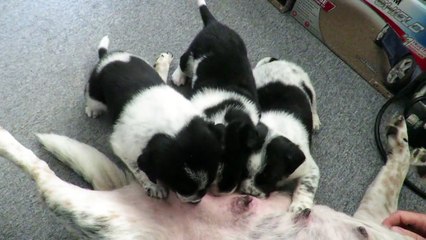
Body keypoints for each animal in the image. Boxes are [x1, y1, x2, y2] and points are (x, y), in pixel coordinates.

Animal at [83, 36, 223, 203]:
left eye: (211, 180)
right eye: (182, 186)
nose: (197, 200)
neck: (174, 127)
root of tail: (106, 57)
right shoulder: (122, 146)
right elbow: (140, 169)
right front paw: (154, 186)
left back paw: (163, 63)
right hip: (95, 94)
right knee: (92, 99)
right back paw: (92, 109)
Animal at [171, 0, 262, 195]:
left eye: (242, 157)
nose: (225, 190)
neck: (228, 111)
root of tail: (214, 23)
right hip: (191, 55)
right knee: (183, 61)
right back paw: (178, 77)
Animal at [241, 57, 322, 213]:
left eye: (270, 177)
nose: (248, 193)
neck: (275, 127)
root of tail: (277, 61)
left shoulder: (309, 168)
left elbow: (306, 186)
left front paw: (300, 207)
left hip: (309, 87)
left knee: (314, 105)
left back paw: (315, 121)